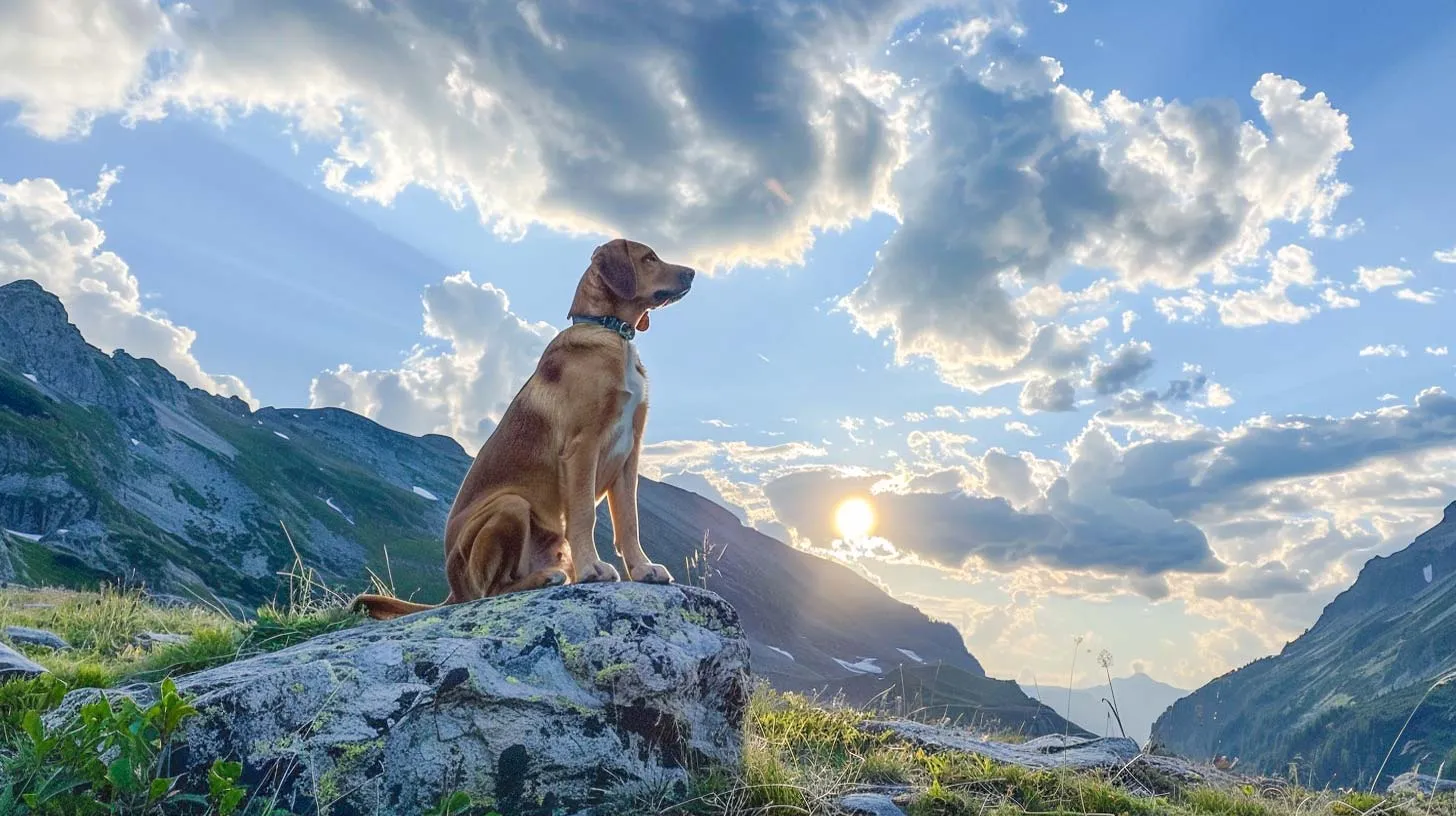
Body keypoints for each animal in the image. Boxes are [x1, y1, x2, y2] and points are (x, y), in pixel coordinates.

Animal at [350, 238, 693, 620]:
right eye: (649, 258)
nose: (692, 272)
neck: (609, 330)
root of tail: (453, 589)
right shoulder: (582, 447)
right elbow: (584, 515)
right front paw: (592, 569)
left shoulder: (628, 454)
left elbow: (629, 523)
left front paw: (643, 569)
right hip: (510, 505)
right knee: (491, 590)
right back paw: (545, 579)